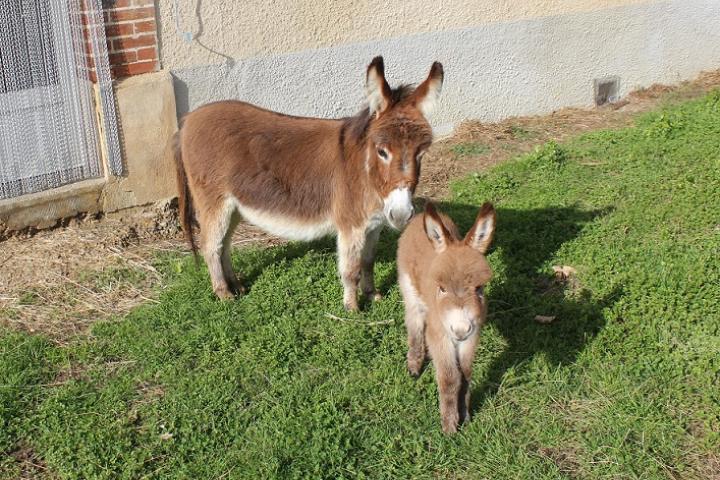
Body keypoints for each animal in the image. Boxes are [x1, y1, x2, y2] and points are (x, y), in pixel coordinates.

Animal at [400, 201, 496, 434]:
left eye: (479, 288)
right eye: (442, 288)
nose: (460, 329)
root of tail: (418, 217)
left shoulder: (472, 335)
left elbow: (466, 374)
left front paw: (465, 414)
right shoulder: (442, 335)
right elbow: (450, 377)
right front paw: (450, 424)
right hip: (410, 291)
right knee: (414, 324)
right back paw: (414, 365)